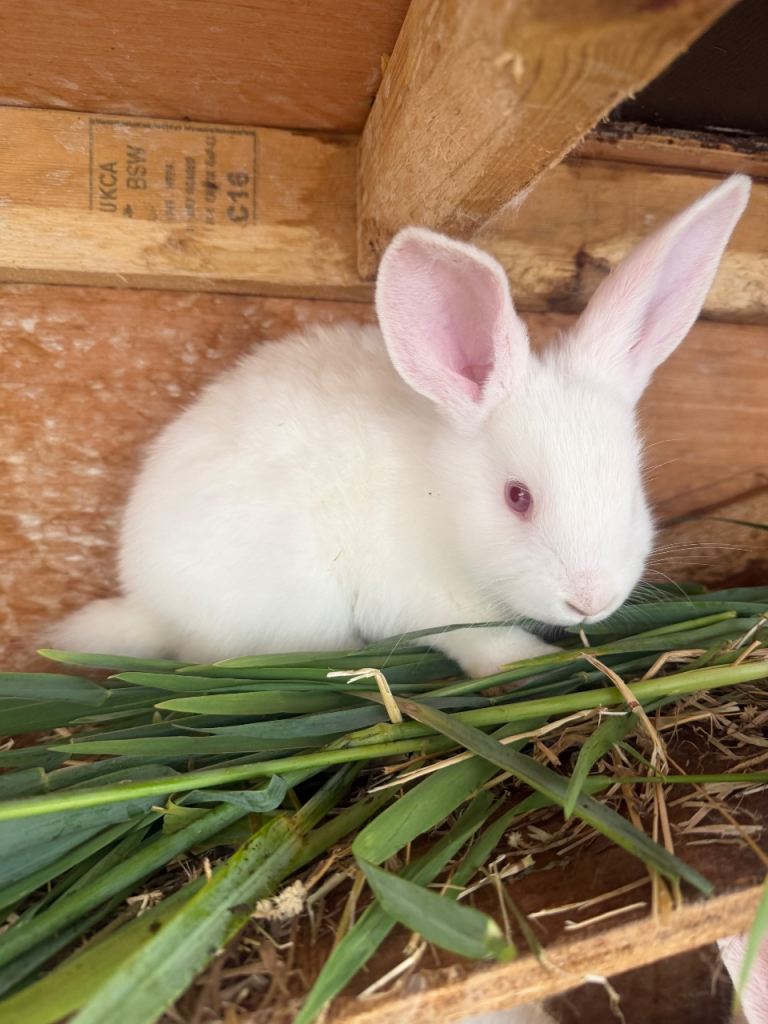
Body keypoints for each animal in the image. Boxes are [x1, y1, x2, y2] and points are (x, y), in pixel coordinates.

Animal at [52, 174, 750, 677]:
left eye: (633, 490)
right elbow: (482, 642)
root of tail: (146, 602)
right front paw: (530, 661)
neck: (443, 504)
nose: (591, 600)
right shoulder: (422, 600)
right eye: (517, 498)